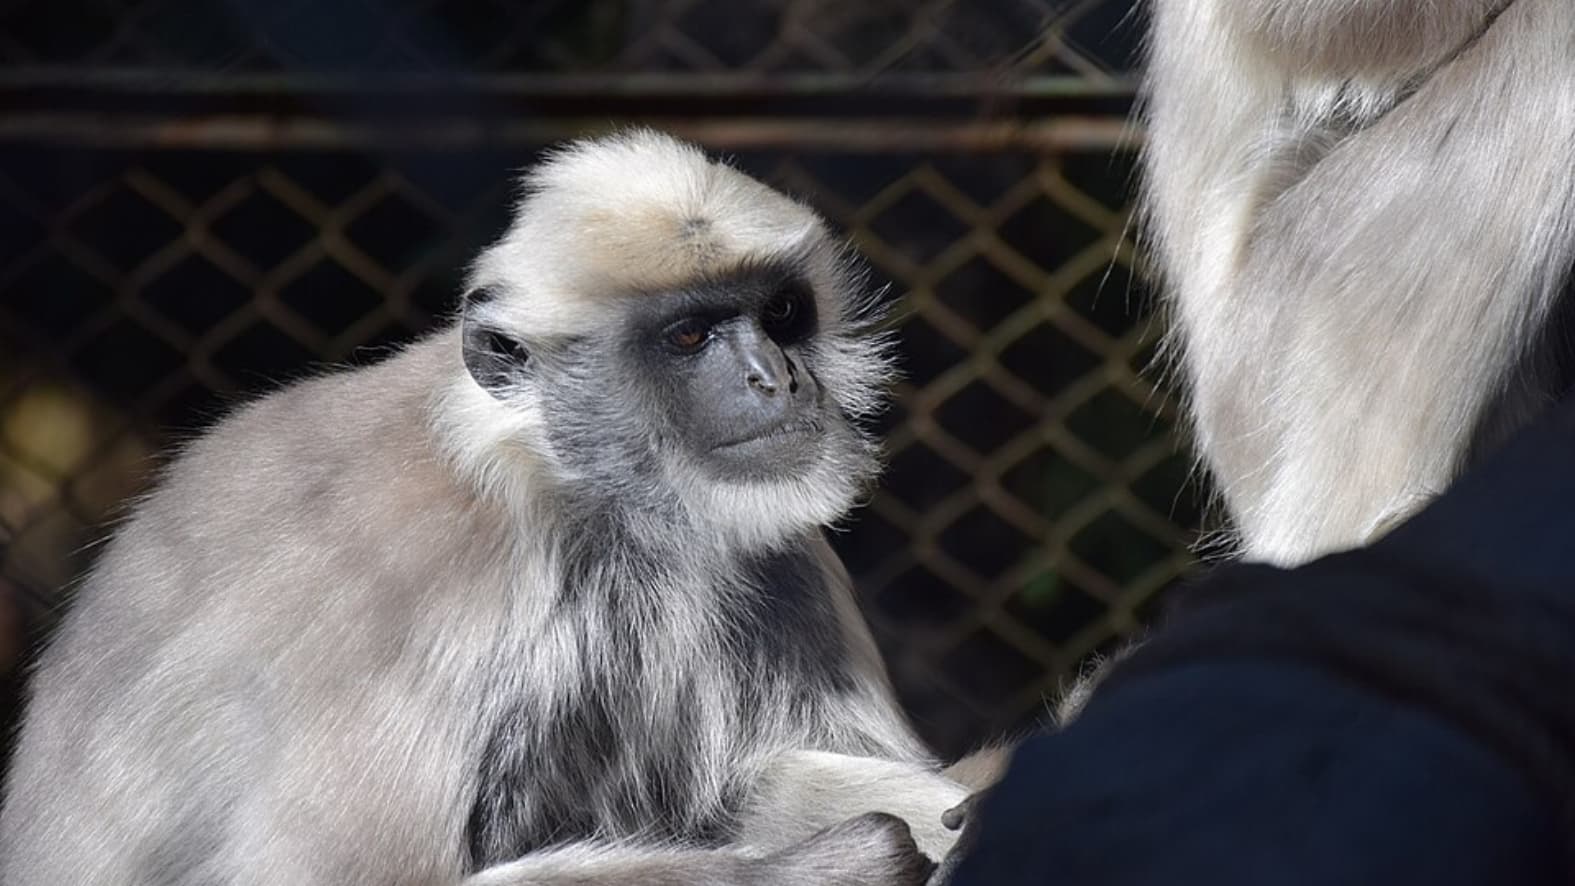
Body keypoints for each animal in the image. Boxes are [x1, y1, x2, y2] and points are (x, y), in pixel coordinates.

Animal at [0, 130, 986, 886]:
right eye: (688, 336)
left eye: (781, 313)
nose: (774, 378)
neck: (569, 489)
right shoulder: (427, 582)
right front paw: (841, 861)